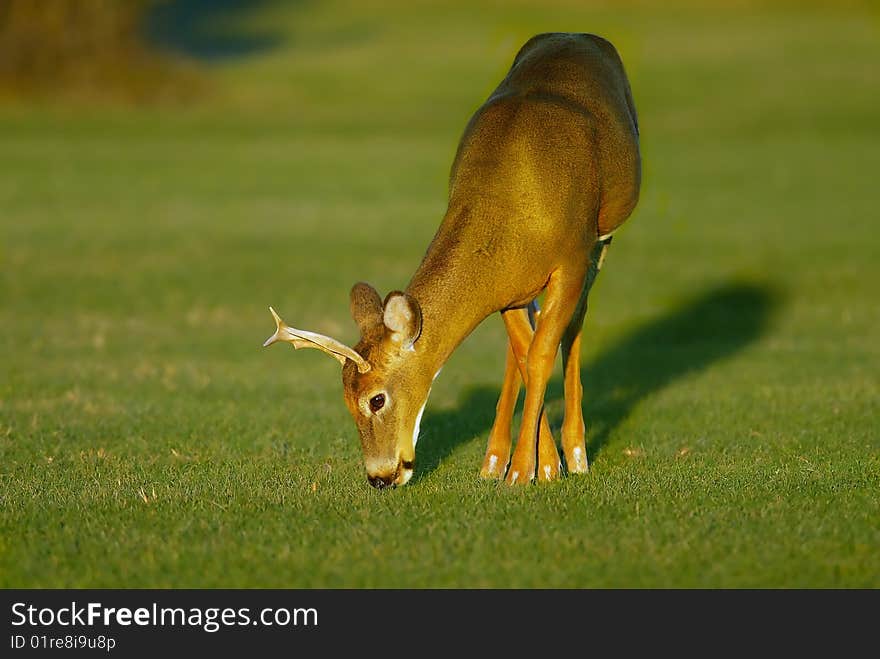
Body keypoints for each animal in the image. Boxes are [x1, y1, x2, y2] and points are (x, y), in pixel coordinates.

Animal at [262, 34, 640, 490]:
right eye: (345, 399)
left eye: (376, 399)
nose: (380, 476)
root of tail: (576, 35)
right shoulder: (507, 288)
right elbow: (526, 354)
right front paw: (532, 464)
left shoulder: (572, 258)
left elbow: (544, 352)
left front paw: (532, 471)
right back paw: (494, 460)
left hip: (603, 236)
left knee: (575, 325)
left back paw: (577, 453)